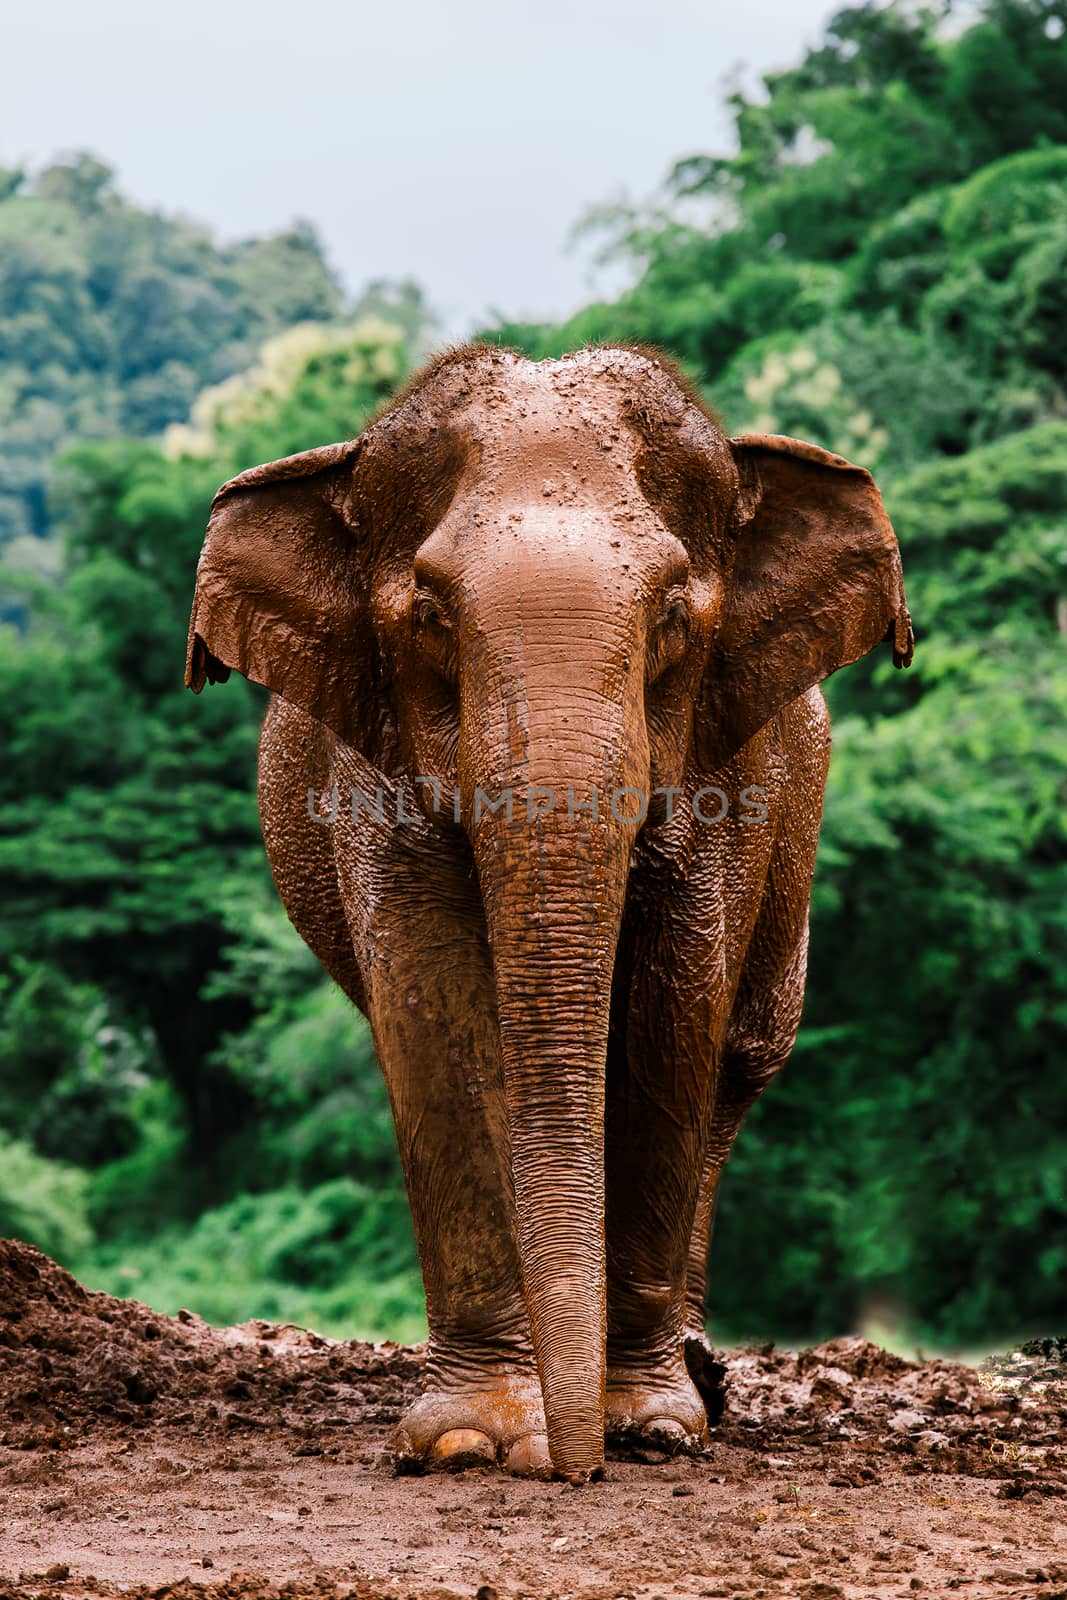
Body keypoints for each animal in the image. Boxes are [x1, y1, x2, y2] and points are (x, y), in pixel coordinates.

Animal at [185, 340, 908, 1484]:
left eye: (672, 613)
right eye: (431, 614)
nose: (574, 1470)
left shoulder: (731, 768)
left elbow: (671, 1013)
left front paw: (650, 1426)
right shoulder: (373, 769)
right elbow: (431, 1013)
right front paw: (472, 1439)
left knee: (739, 1060)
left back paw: (693, 1381)